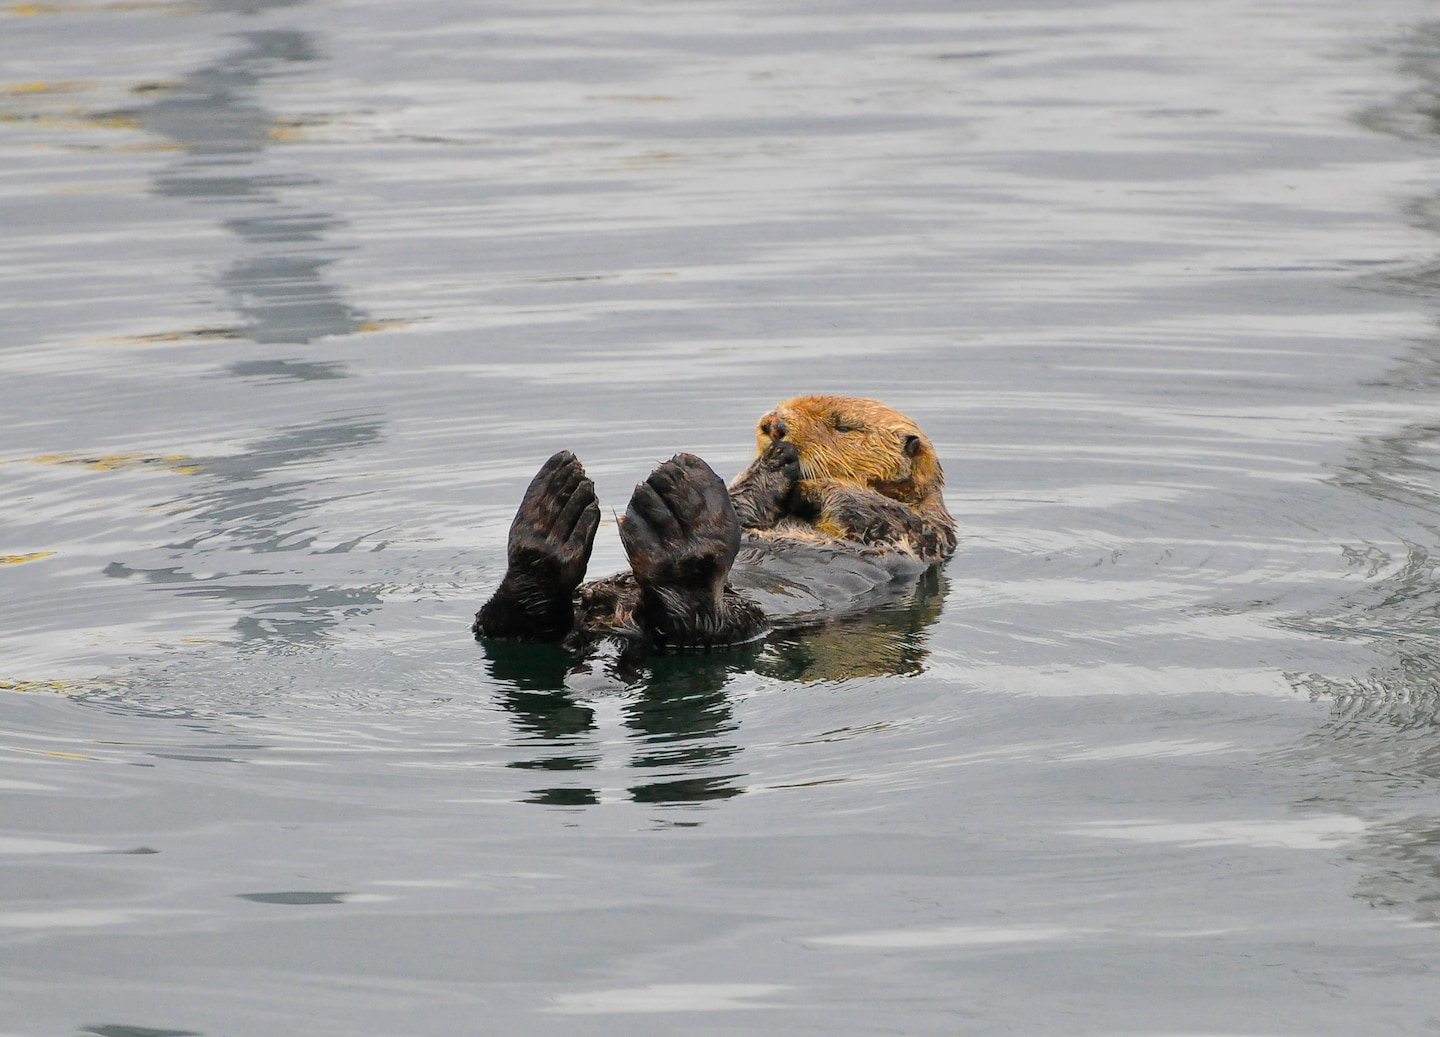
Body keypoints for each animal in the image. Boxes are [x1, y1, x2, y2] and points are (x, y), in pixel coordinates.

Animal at [473, 396, 956, 658]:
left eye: (844, 426)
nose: (775, 427)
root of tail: (611, 626)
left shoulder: (916, 525)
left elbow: (861, 505)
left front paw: (798, 473)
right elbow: (744, 509)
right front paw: (773, 463)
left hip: (732, 624)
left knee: (690, 619)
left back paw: (679, 529)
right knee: (512, 620)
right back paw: (554, 512)